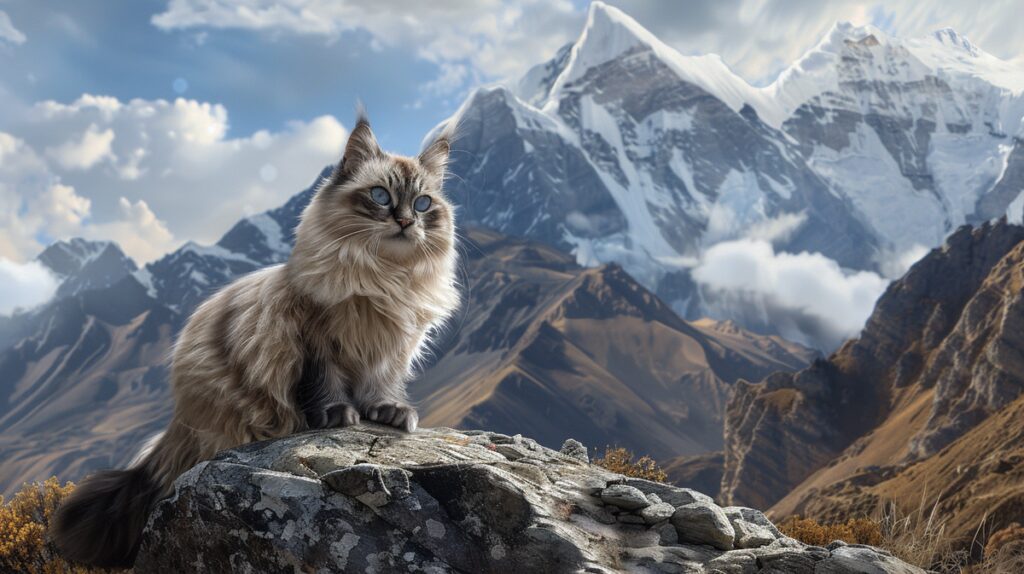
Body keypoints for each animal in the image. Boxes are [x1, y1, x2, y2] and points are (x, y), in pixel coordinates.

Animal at [50, 114, 460, 564]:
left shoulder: (391, 350)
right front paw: (338, 415)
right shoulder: (314, 338)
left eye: (422, 204)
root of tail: (179, 419)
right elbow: (327, 384)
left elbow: (382, 385)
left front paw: (388, 413)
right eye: (380, 196)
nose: (405, 221)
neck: (384, 279)